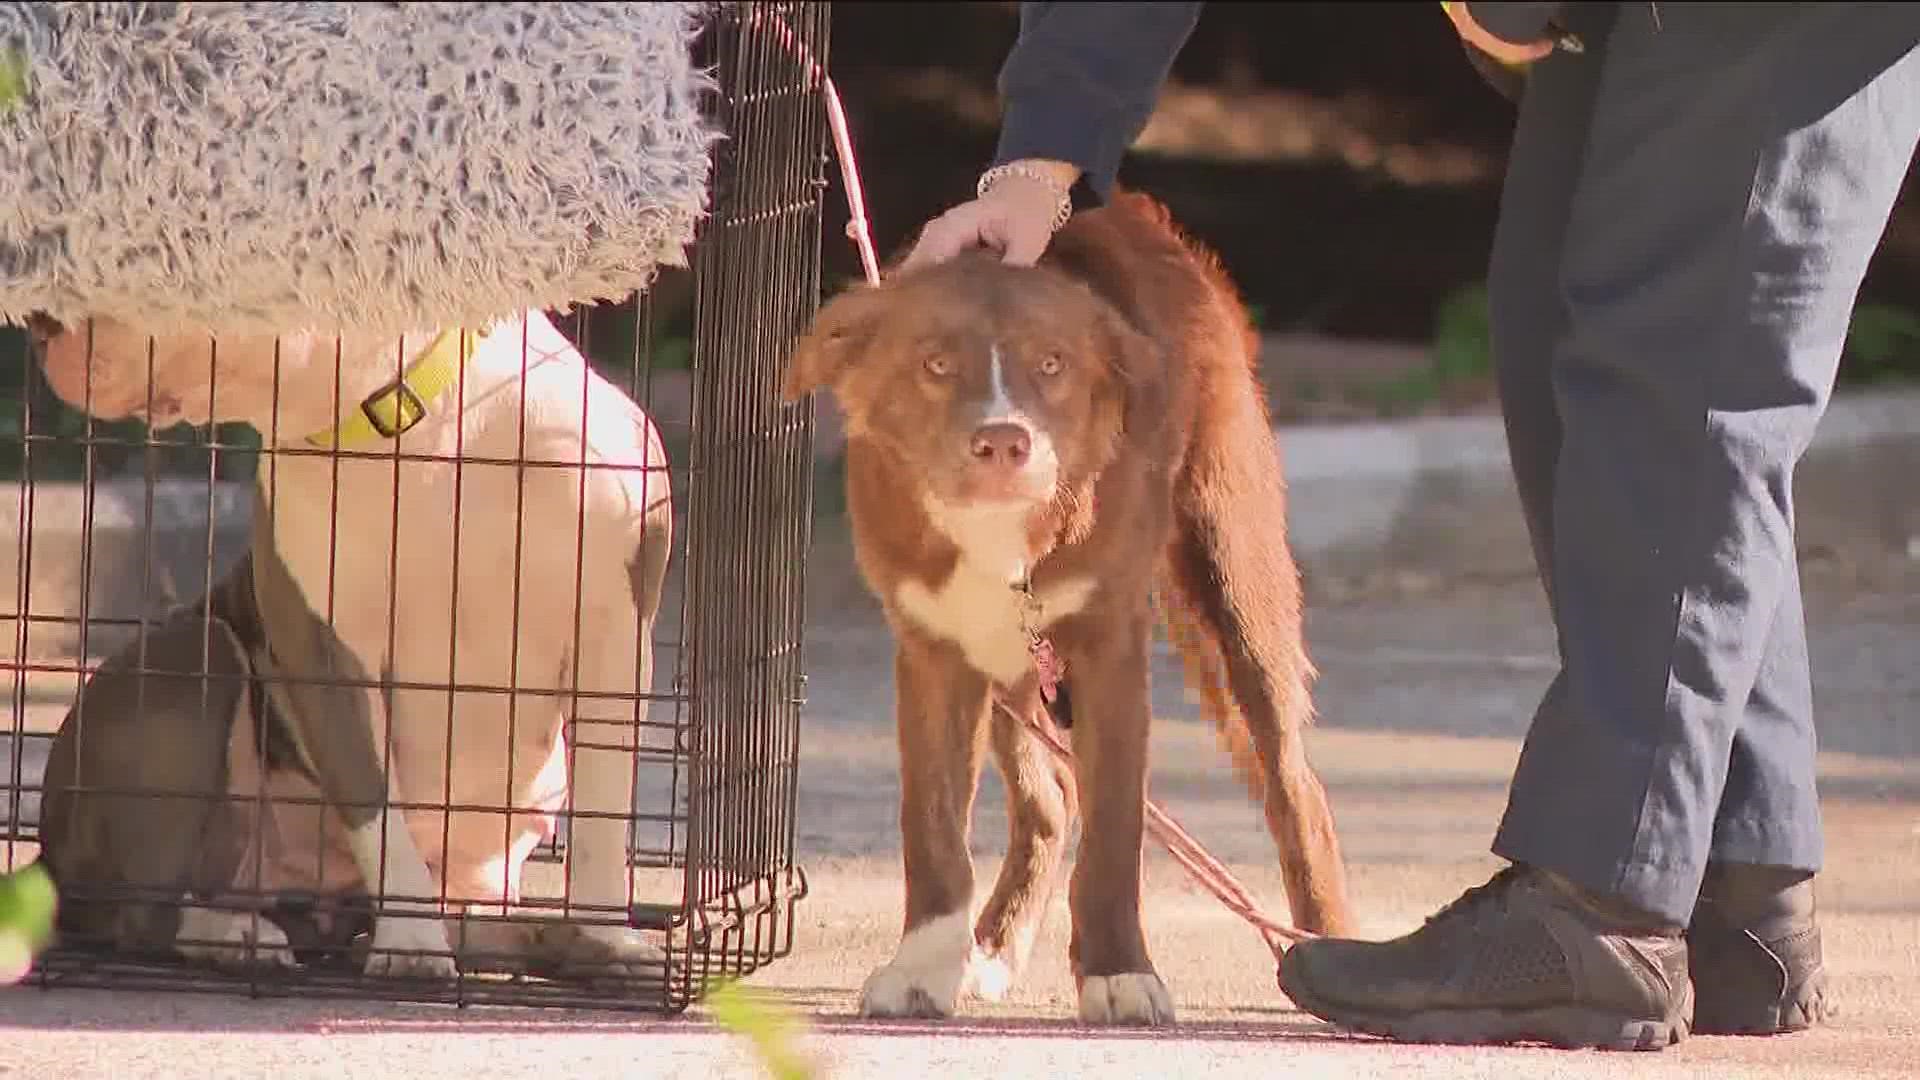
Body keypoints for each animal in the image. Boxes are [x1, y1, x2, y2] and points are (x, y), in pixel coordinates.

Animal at [28, 305, 675, 976]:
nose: (39, 324)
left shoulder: (614, 627)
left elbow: (607, 805)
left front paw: (609, 938)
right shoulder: (326, 650)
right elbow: (376, 808)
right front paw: (410, 945)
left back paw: (531, 937)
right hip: (191, 657)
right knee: (140, 911)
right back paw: (239, 934)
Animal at [779, 189, 1351, 1022]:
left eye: (1052, 364)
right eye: (935, 364)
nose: (1003, 442)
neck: (1001, 534)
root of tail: (1138, 212)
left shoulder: (1108, 644)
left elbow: (1114, 829)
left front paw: (1119, 975)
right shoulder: (934, 650)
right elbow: (933, 828)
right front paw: (924, 967)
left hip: (1236, 577)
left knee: (1293, 782)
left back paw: (1328, 940)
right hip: (1011, 664)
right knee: (1049, 799)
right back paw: (992, 947)